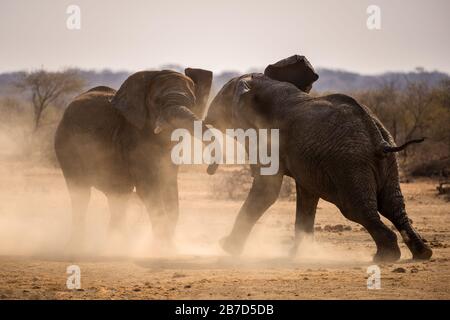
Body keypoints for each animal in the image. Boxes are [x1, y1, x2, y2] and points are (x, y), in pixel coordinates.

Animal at [54, 68, 213, 252]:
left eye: (192, 102)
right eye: (157, 101)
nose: (210, 169)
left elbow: (169, 187)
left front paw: (169, 248)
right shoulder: (133, 138)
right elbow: (147, 188)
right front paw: (165, 249)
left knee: (118, 195)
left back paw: (117, 245)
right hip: (66, 146)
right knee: (80, 193)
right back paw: (78, 247)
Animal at [206, 57, 434, 262]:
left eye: (222, 96)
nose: (208, 119)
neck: (266, 84)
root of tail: (376, 136)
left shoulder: (269, 138)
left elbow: (267, 191)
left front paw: (226, 247)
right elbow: (307, 195)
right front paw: (296, 255)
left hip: (350, 164)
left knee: (357, 209)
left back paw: (385, 256)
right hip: (385, 161)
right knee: (393, 205)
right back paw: (422, 253)